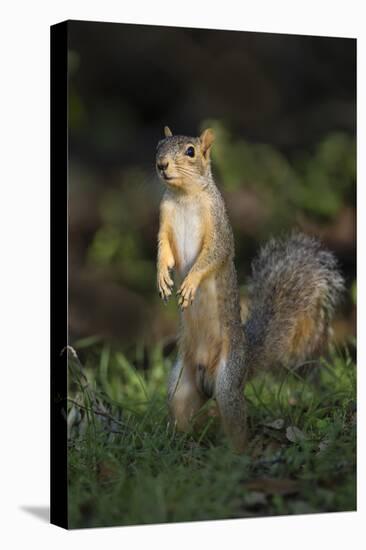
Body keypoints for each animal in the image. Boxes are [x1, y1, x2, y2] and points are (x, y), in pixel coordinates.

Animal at [154, 126, 344, 452]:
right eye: (159, 145)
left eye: (190, 151)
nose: (161, 165)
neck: (184, 197)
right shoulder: (164, 217)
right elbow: (163, 250)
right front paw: (162, 279)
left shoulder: (219, 225)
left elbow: (212, 255)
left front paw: (189, 283)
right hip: (181, 385)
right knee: (182, 412)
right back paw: (179, 444)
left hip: (228, 381)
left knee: (236, 422)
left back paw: (236, 454)